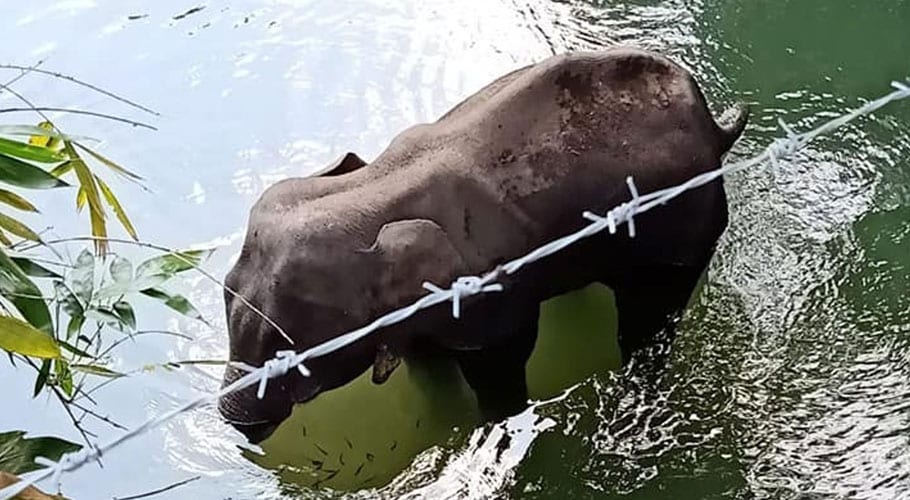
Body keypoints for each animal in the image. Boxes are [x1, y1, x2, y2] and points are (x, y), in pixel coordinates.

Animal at [219, 47, 748, 442]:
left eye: (291, 348)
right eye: (225, 290)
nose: (238, 425)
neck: (377, 189)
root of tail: (714, 127)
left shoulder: (489, 294)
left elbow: (502, 360)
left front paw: (492, 424)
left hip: (685, 223)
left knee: (649, 315)